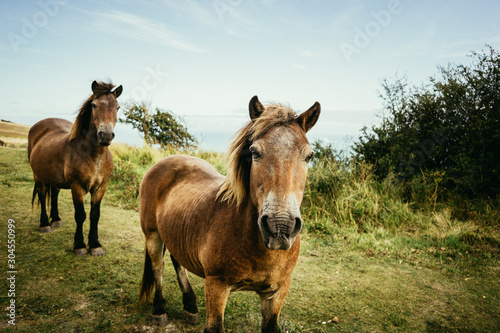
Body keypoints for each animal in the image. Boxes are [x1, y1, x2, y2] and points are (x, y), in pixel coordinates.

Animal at [27, 81, 122, 256]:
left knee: (54, 193)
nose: (105, 136)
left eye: (117, 107)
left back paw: (56, 219)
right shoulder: (77, 186)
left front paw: (95, 245)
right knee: (42, 195)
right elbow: (80, 215)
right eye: (94, 105)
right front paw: (80, 246)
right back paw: (45, 224)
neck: (94, 156)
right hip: (38, 175)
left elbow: (94, 215)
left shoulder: (101, 187)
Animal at [140, 94, 320, 330]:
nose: (280, 226)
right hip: (152, 235)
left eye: (309, 156)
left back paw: (190, 306)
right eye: (254, 152)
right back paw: (159, 310)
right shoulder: (216, 286)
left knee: (177, 261)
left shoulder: (277, 293)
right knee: (158, 268)